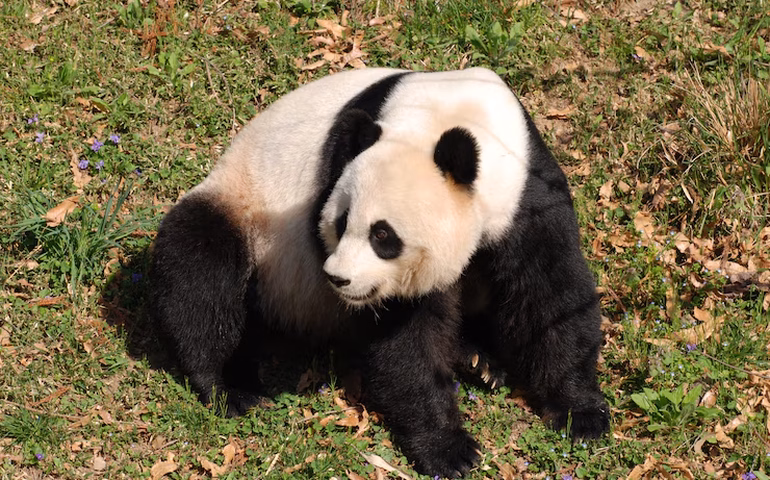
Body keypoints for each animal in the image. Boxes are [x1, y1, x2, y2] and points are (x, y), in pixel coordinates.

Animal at [151, 67, 609, 478]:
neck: (447, 117)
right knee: (200, 270)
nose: (337, 279)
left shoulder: (528, 190)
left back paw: (480, 361)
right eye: (339, 222)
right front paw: (450, 450)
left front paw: (582, 413)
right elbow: (403, 337)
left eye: (382, 235)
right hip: (245, 211)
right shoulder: (341, 165)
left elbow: (550, 295)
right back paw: (229, 387)